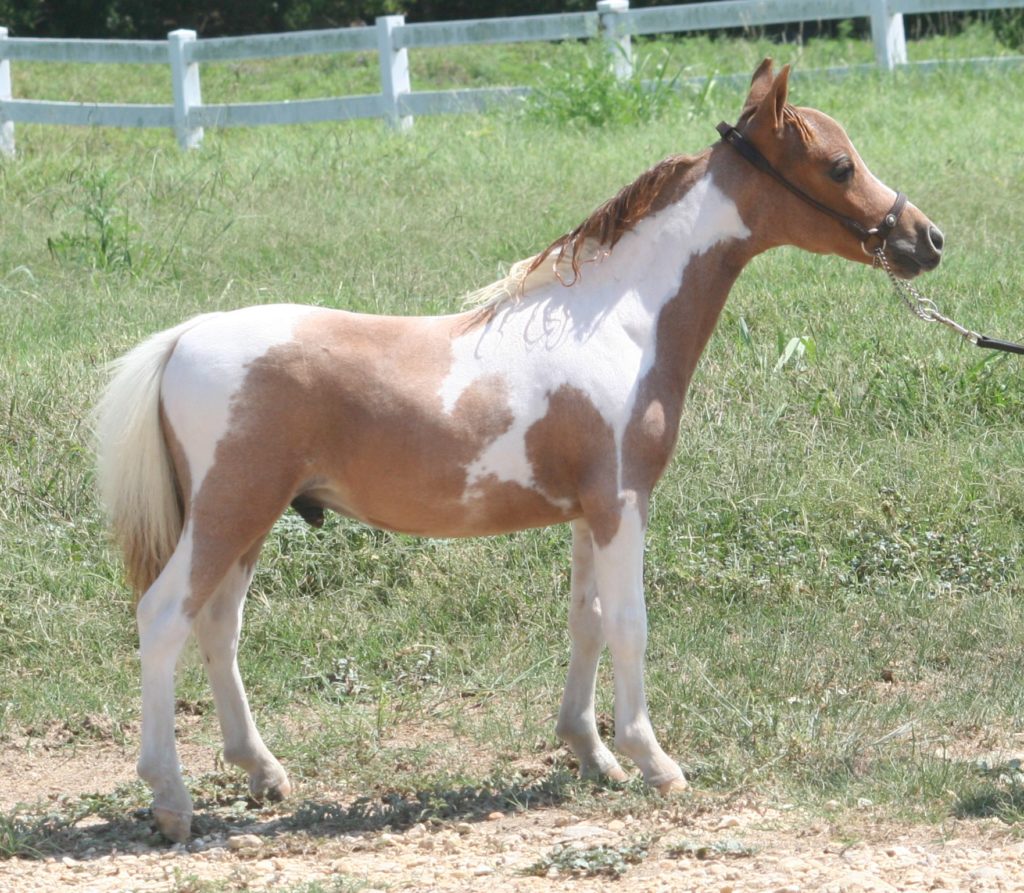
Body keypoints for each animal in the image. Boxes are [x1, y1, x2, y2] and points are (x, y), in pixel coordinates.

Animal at [95, 59, 944, 843]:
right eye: (839, 165)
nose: (926, 239)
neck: (620, 322)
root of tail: (184, 338)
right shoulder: (623, 502)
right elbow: (629, 621)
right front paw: (653, 759)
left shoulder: (587, 513)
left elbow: (587, 620)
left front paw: (592, 753)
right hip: (230, 511)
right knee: (164, 618)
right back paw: (171, 799)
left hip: (249, 519)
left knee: (217, 627)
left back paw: (263, 771)